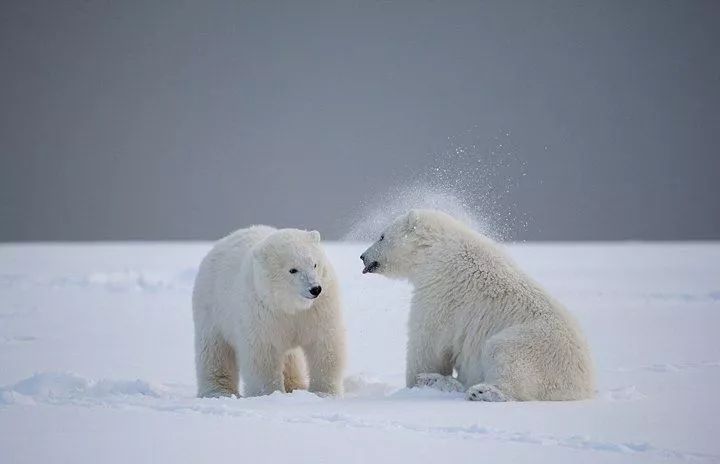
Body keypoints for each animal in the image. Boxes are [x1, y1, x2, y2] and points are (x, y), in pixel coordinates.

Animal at [194, 227, 346, 396]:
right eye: (292, 270)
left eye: (314, 264)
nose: (315, 289)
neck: (289, 306)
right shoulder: (262, 313)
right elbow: (263, 357)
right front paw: (270, 394)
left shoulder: (317, 309)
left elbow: (324, 344)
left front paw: (324, 393)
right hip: (212, 309)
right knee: (214, 351)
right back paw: (218, 391)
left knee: (290, 358)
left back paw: (295, 385)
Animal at [362, 210, 592, 402]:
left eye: (381, 236)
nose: (363, 256)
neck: (435, 249)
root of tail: (584, 386)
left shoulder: (440, 291)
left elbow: (427, 343)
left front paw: (415, 382)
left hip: (537, 347)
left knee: (505, 356)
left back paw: (478, 390)